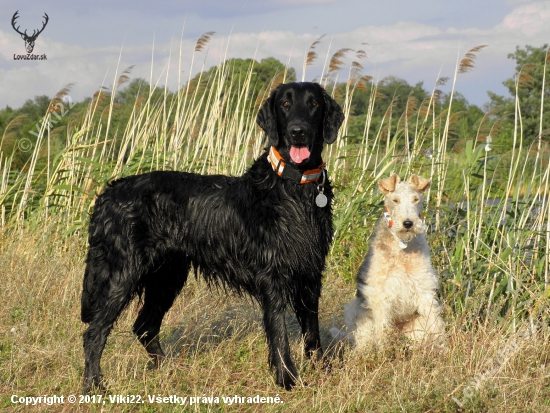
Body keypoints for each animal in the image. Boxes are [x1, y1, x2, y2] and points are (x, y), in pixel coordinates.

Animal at [81, 81, 344, 392]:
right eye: (285, 104)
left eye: (314, 104)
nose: (298, 131)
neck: (295, 188)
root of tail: (107, 194)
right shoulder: (273, 277)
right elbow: (279, 333)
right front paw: (287, 380)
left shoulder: (311, 273)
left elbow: (312, 331)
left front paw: (324, 371)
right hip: (123, 273)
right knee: (95, 332)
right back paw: (94, 386)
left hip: (167, 276)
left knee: (145, 326)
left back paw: (169, 371)